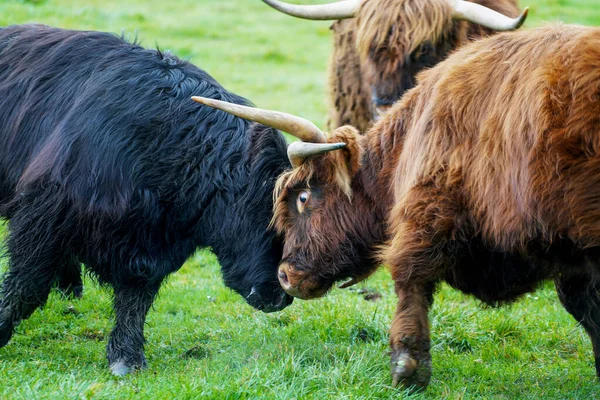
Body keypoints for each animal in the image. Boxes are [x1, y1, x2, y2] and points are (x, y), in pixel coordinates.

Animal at [0, 24, 292, 376]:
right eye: (268, 211)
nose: (281, 297)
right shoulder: (44, 213)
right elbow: (25, 283)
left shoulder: (152, 243)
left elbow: (136, 297)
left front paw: (126, 357)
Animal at [195, 22, 600, 390]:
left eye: (304, 198)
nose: (284, 275)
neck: (409, 141)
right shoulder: (574, 257)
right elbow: (587, 307)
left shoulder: (430, 209)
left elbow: (409, 277)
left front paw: (408, 367)